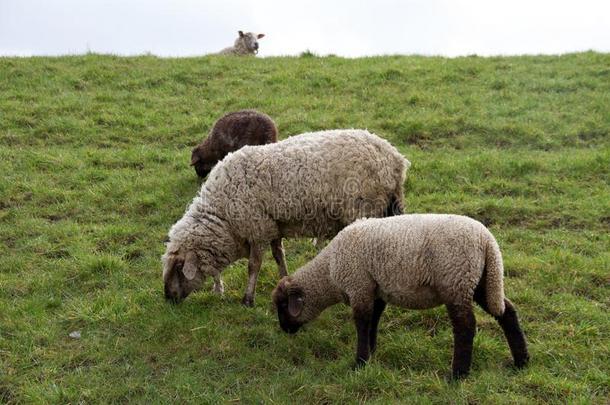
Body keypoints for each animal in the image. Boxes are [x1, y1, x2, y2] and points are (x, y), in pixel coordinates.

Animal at [162, 129, 408, 306]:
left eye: (178, 267)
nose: (167, 299)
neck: (224, 217)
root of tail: (395, 158)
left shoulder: (258, 228)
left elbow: (254, 265)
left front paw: (248, 299)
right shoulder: (272, 226)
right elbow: (279, 256)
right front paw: (284, 282)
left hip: (364, 208)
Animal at [270, 215, 528, 378]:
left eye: (282, 306)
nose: (285, 330)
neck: (329, 272)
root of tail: (488, 242)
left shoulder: (359, 286)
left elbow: (362, 323)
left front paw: (359, 362)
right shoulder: (375, 289)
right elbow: (373, 321)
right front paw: (371, 352)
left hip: (456, 282)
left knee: (465, 326)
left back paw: (458, 374)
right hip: (481, 282)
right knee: (507, 312)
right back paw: (521, 362)